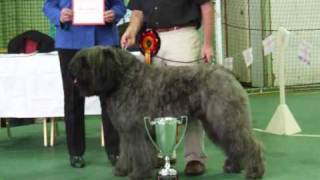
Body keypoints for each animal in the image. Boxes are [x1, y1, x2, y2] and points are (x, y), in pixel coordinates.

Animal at [69, 46, 264, 180]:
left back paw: (255, 171)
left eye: (86, 62)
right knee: (233, 144)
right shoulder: (126, 132)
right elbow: (126, 152)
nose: (72, 72)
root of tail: (226, 72)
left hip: (225, 119)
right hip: (216, 123)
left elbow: (138, 154)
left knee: (249, 144)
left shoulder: (136, 131)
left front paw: (138, 174)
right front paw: (121, 169)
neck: (123, 79)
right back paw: (233, 166)